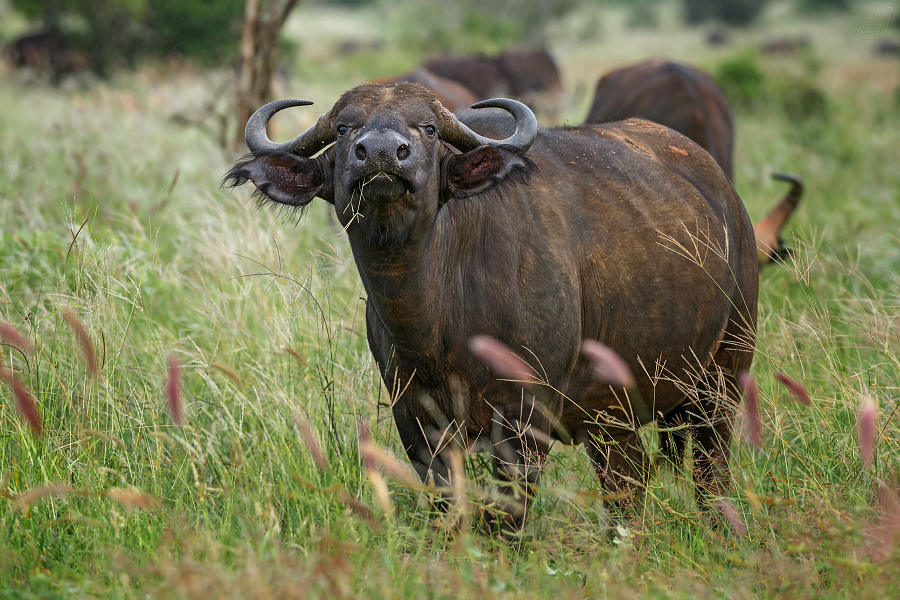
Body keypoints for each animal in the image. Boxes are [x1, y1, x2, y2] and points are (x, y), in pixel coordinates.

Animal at [225, 82, 760, 532]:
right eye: (343, 128)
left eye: (429, 128)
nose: (380, 153)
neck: (435, 323)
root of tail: (730, 202)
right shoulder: (415, 419)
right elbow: (447, 504)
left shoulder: (525, 419)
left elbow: (508, 513)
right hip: (616, 414)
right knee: (627, 481)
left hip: (723, 376)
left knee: (709, 467)